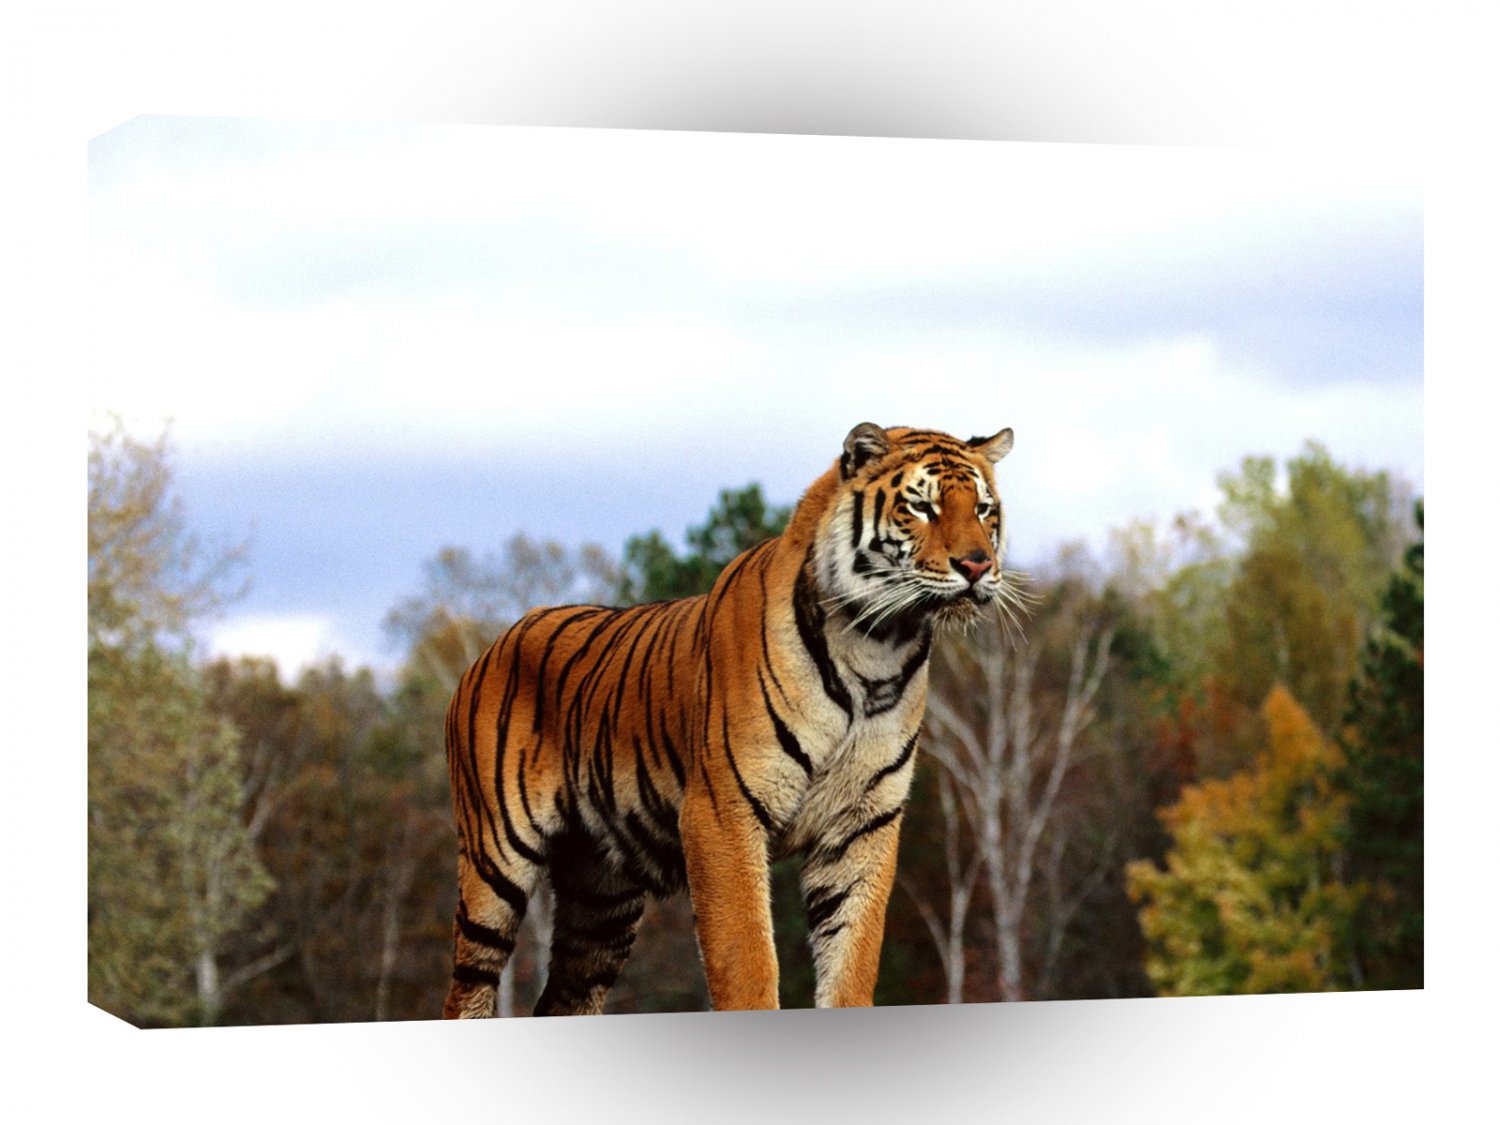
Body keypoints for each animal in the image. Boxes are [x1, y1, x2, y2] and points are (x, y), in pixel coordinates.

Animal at [441, 421, 1015, 1016]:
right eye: (921, 506)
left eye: (984, 509)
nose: (977, 565)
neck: (876, 648)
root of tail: (491, 645)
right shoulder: (723, 811)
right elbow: (748, 960)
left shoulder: (863, 824)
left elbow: (853, 959)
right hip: (495, 864)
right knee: (467, 987)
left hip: (601, 898)